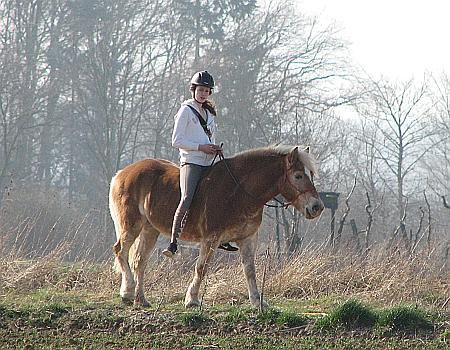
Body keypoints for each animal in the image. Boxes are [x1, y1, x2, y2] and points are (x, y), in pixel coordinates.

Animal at [110, 145, 326, 308]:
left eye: (310, 174)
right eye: (298, 176)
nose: (317, 207)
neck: (239, 191)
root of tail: (122, 174)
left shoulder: (247, 239)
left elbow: (250, 270)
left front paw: (257, 302)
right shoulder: (211, 238)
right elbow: (201, 268)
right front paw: (192, 299)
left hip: (150, 229)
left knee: (139, 261)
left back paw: (140, 299)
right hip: (132, 226)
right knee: (120, 251)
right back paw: (127, 292)